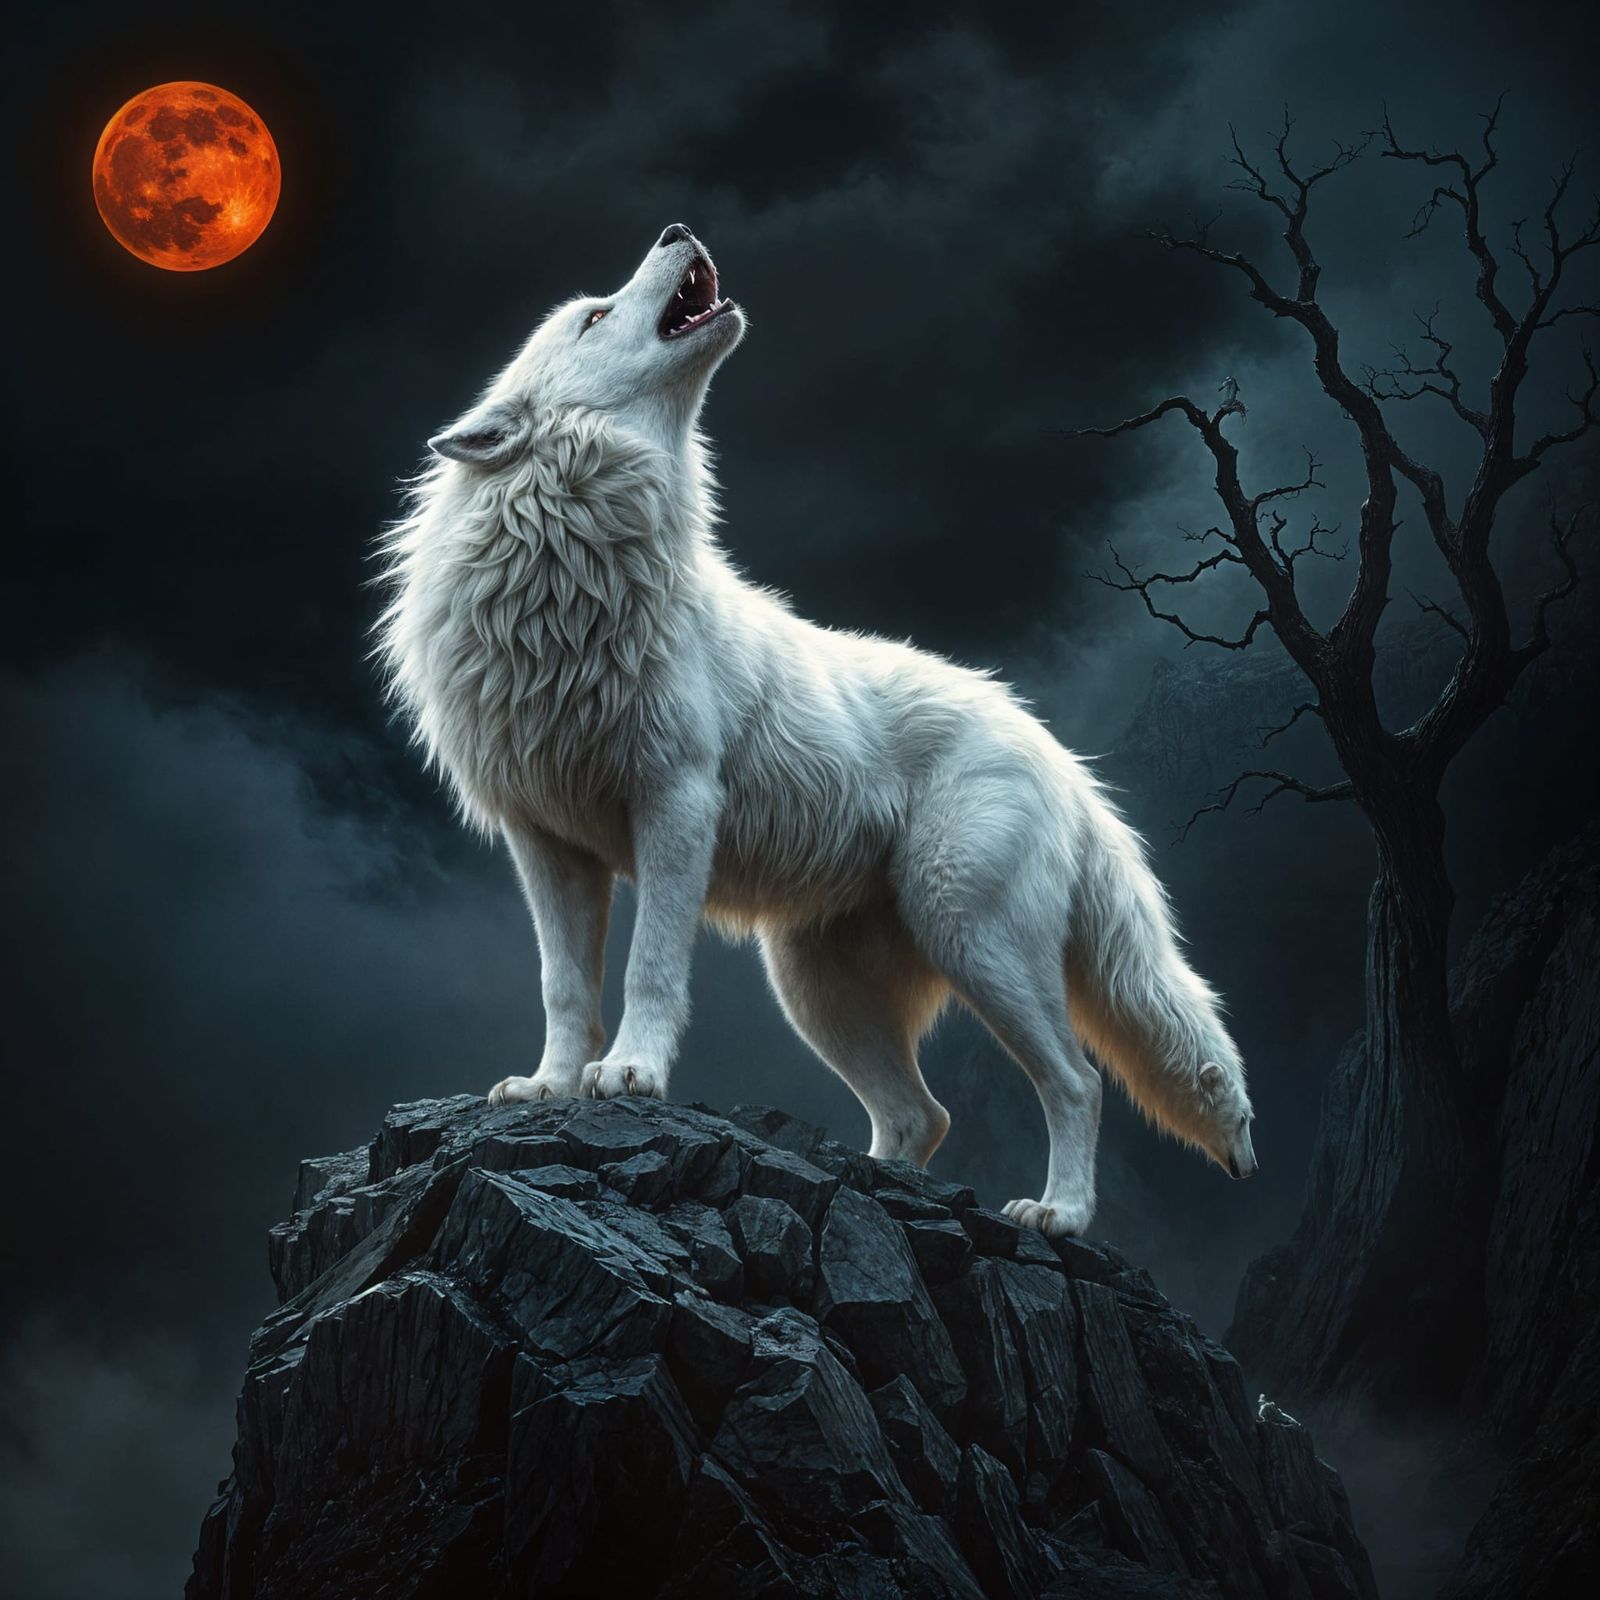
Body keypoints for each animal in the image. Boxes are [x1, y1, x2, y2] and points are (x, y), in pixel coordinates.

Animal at [377, 224, 1257, 1236]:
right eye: (594, 317)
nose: (676, 229)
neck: (567, 579)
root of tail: (1060, 753)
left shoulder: (675, 802)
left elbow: (649, 967)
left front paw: (630, 1072)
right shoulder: (544, 842)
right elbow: (564, 984)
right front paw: (551, 1083)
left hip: (972, 938)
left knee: (1075, 1082)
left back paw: (1059, 1214)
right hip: (817, 989)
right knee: (924, 1116)